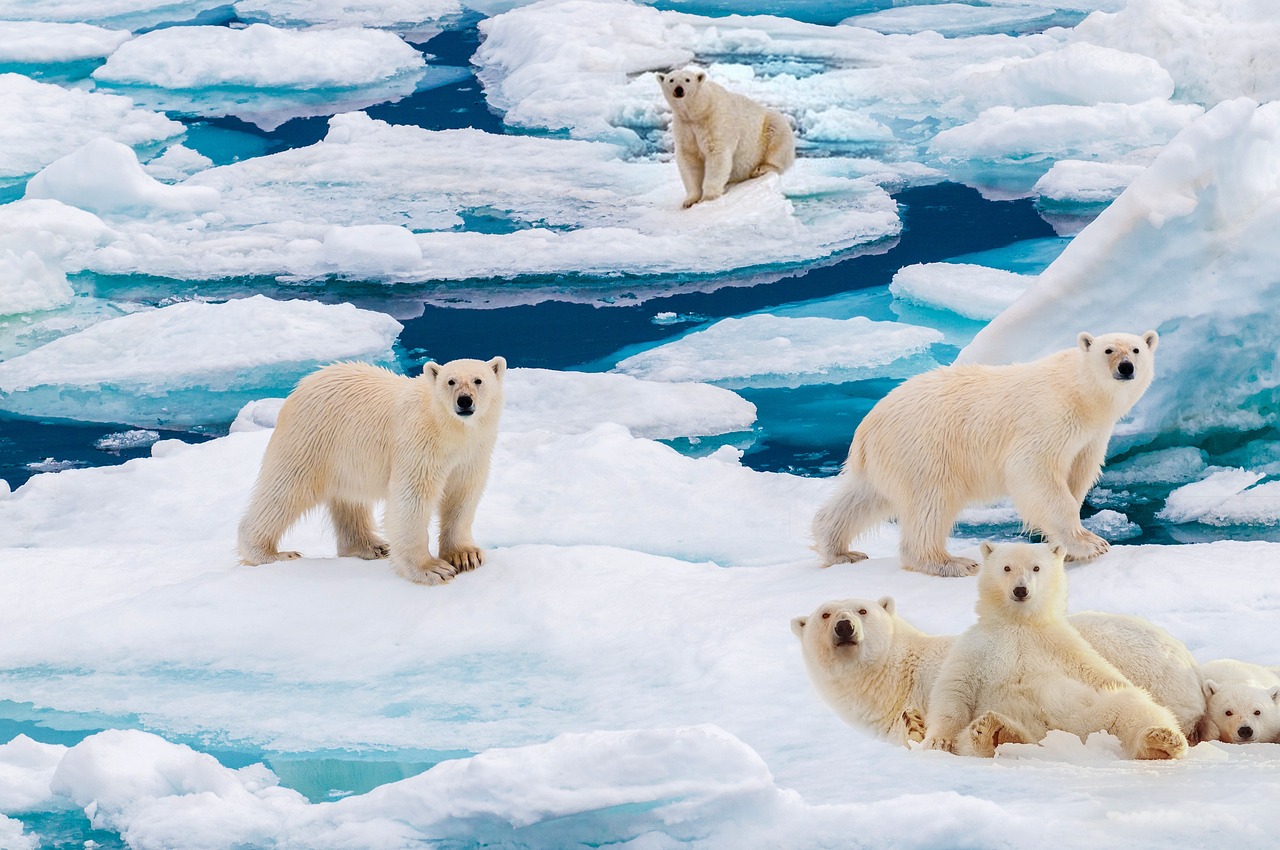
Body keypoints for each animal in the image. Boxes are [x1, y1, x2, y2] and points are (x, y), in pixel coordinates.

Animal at [239, 355, 504, 583]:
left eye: (478, 380)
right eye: (450, 381)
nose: (464, 400)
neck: (449, 428)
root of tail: (303, 384)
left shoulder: (472, 453)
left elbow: (462, 495)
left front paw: (465, 556)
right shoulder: (420, 442)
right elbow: (412, 498)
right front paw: (431, 569)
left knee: (349, 499)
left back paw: (372, 546)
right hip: (310, 438)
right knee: (285, 490)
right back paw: (269, 553)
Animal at [655, 66, 793, 208]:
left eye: (687, 79)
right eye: (671, 80)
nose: (679, 89)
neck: (698, 111)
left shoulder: (714, 121)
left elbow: (716, 155)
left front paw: (708, 197)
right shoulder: (685, 127)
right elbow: (689, 159)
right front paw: (690, 200)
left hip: (767, 127)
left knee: (777, 137)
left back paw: (761, 169)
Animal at [819, 327, 1162, 573]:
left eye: (1136, 349)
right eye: (1108, 349)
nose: (1126, 367)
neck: (1081, 394)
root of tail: (867, 426)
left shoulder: (1091, 436)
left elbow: (1078, 476)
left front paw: (1066, 547)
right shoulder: (1047, 417)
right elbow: (1033, 471)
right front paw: (1089, 544)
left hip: (888, 458)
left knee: (861, 498)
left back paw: (840, 550)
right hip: (924, 448)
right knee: (931, 502)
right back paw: (949, 562)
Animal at [921, 540, 1187, 757]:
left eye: (1036, 568)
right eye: (1007, 568)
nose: (1021, 590)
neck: (1019, 624)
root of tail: (1050, 739)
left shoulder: (1062, 643)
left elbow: (1100, 674)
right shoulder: (977, 645)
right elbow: (954, 688)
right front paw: (939, 741)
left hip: (1088, 717)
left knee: (1129, 706)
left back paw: (1162, 740)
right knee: (970, 739)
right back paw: (993, 732)